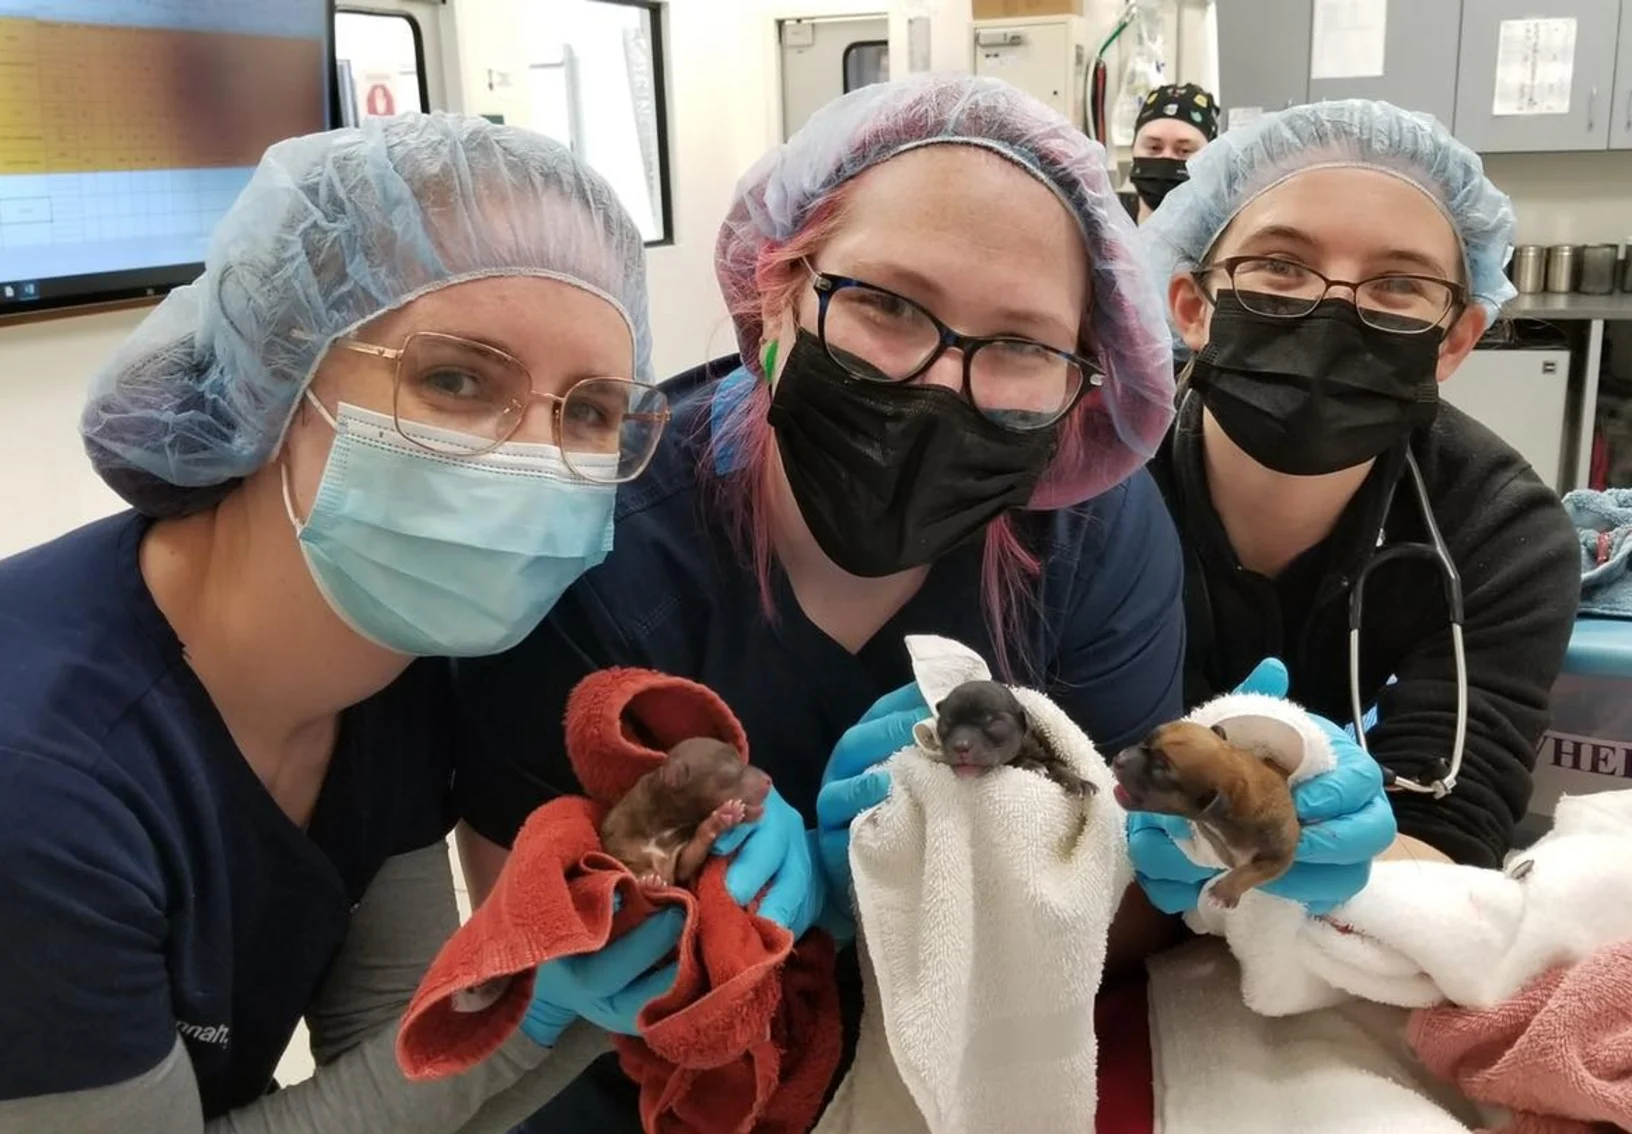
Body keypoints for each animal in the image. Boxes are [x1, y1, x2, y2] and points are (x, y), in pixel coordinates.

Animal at [603, 740, 773, 894]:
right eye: (728, 773)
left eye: (741, 759)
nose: (768, 780)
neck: (664, 828)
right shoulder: (618, 841)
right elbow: (627, 867)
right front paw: (648, 880)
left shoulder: (679, 856)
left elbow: (687, 862)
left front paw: (722, 817)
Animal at [933, 682, 1096, 799]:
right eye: (946, 722)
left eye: (992, 722)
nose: (960, 746)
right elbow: (1014, 760)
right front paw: (1031, 765)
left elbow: (1058, 764)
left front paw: (1079, 781)